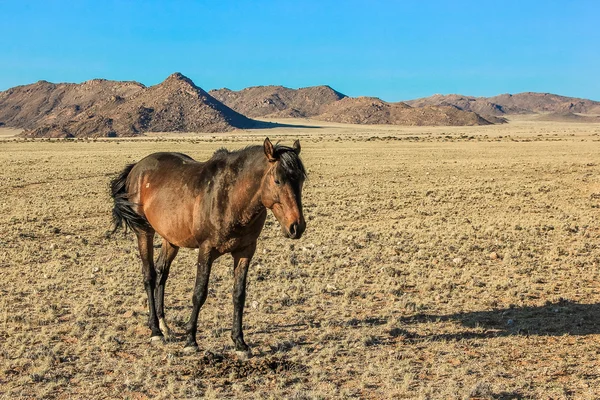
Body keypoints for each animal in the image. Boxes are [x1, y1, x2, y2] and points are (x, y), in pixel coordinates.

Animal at [110, 137, 308, 354]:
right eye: (277, 180)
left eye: (301, 180)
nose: (296, 226)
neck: (231, 198)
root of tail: (137, 167)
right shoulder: (206, 250)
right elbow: (199, 293)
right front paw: (191, 340)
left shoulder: (245, 251)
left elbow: (239, 295)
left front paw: (239, 342)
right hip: (144, 232)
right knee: (149, 276)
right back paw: (155, 331)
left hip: (170, 238)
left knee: (162, 273)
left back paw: (165, 326)